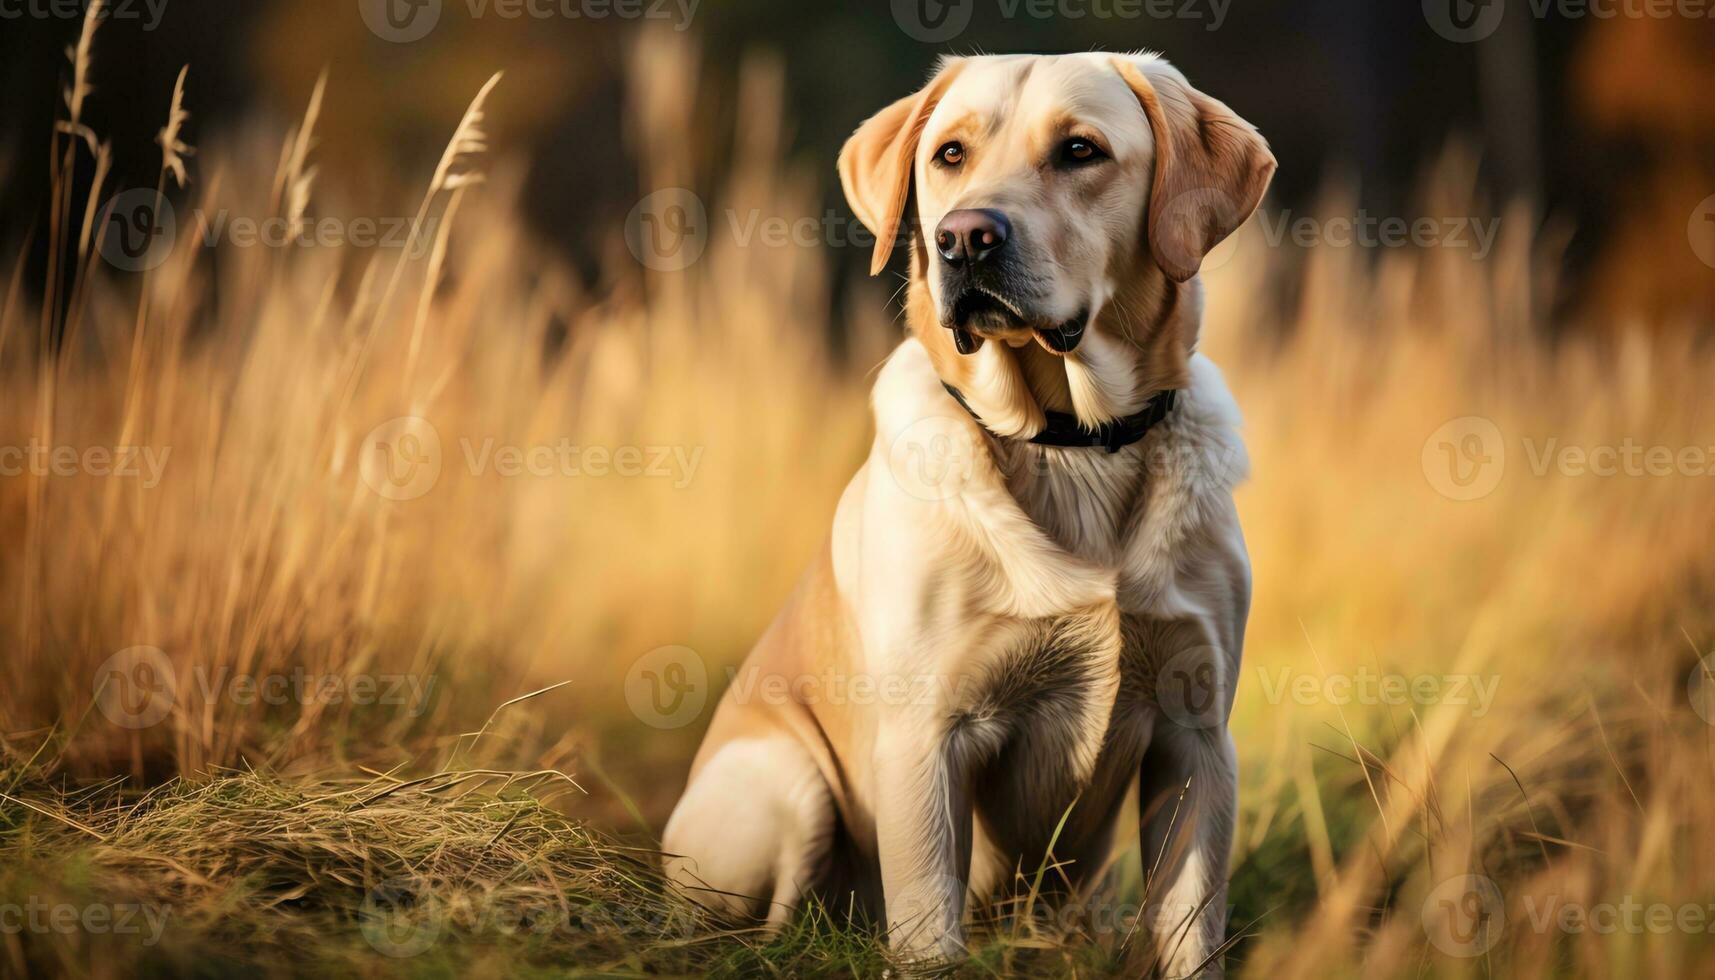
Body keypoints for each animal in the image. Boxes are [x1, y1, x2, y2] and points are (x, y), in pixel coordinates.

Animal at [665, 51, 1275, 974]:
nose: (962, 238)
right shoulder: (928, 735)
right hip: (784, 779)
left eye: (1080, 150)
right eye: (948, 155)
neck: (1069, 441)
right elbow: (926, 922)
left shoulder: (1195, 733)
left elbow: (1189, 928)